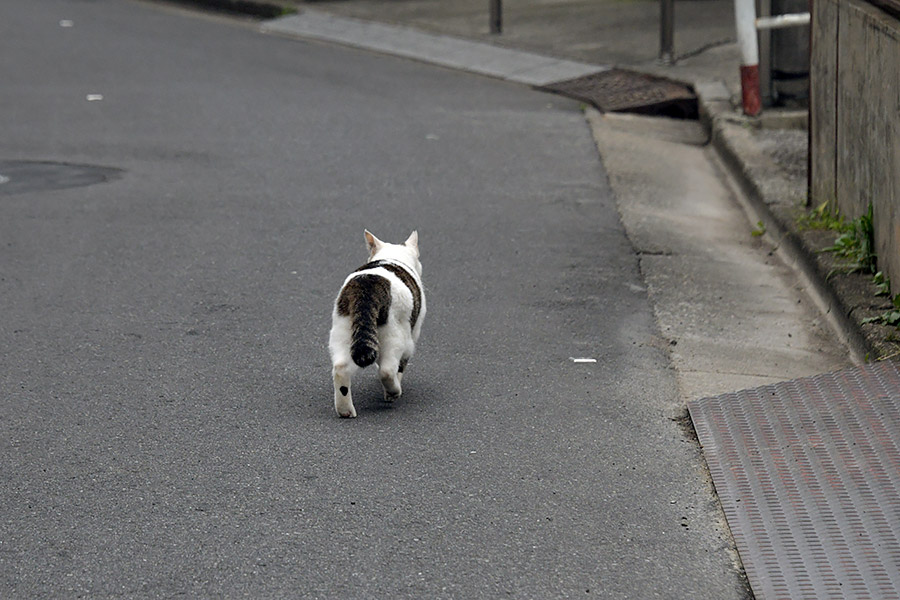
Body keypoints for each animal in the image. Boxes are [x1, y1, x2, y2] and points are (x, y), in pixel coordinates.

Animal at [328, 230, 428, 418]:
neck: (392, 257)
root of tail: (366, 289)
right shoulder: (413, 333)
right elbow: (400, 366)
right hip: (396, 335)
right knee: (387, 371)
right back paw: (393, 392)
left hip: (341, 330)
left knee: (340, 368)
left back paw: (345, 410)